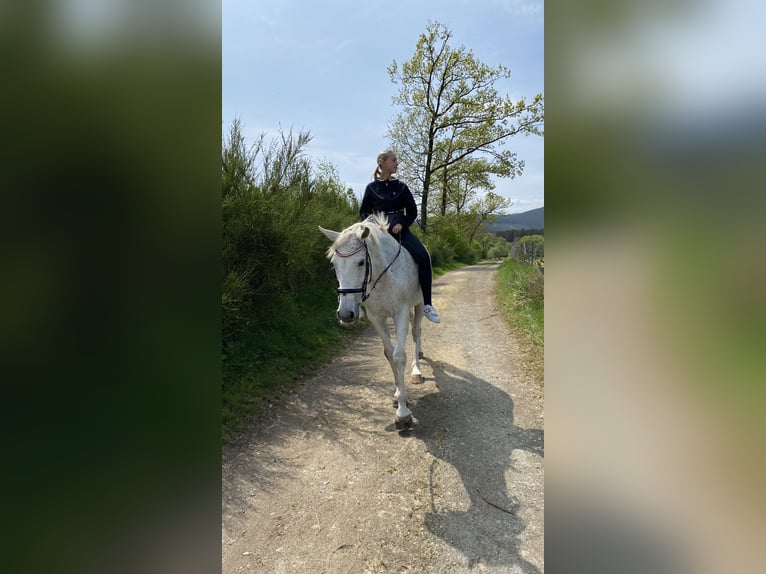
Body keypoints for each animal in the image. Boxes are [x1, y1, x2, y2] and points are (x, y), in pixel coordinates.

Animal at [318, 216, 426, 432]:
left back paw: (416, 371)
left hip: (418, 305)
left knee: (416, 332)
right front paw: (397, 396)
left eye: (361, 262)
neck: (383, 275)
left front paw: (403, 414)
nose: (346, 314)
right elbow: (389, 354)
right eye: (334, 264)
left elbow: (399, 356)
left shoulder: (400, 313)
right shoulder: (376, 317)